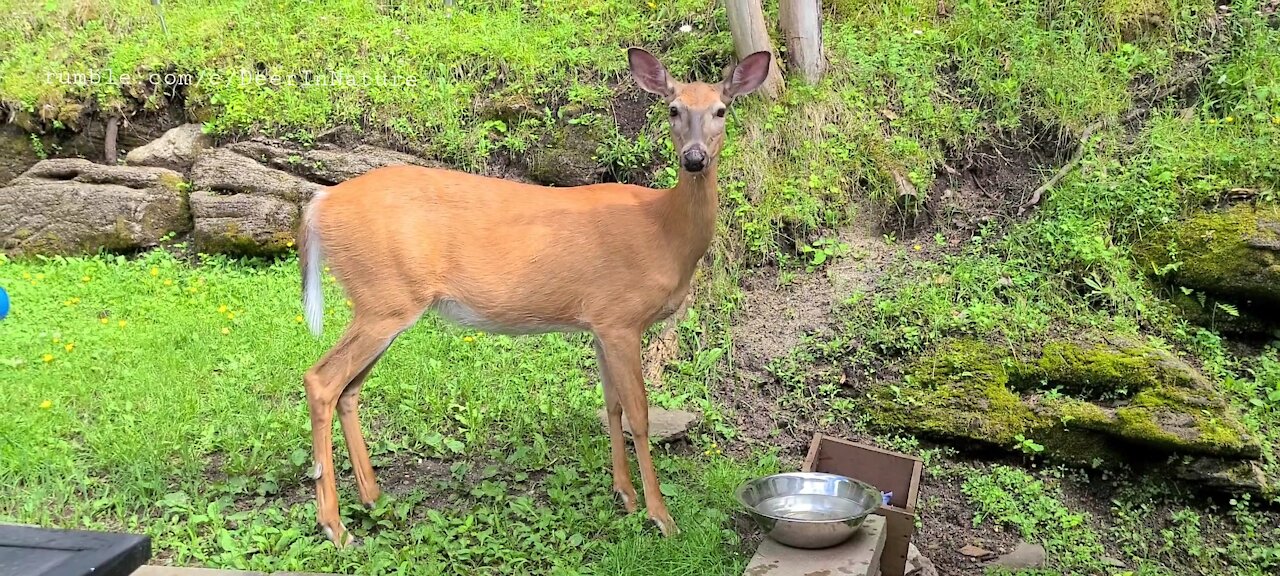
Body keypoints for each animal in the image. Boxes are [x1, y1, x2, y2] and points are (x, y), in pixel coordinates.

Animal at [294, 45, 768, 545]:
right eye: (673, 109)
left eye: (721, 110)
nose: (695, 158)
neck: (664, 230)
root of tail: (319, 204)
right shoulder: (621, 318)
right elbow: (639, 414)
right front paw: (660, 515)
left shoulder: (599, 323)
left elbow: (612, 404)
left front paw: (624, 495)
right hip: (384, 297)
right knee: (322, 380)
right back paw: (335, 526)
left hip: (382, 303)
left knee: (349, 389)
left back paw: (373, 498)